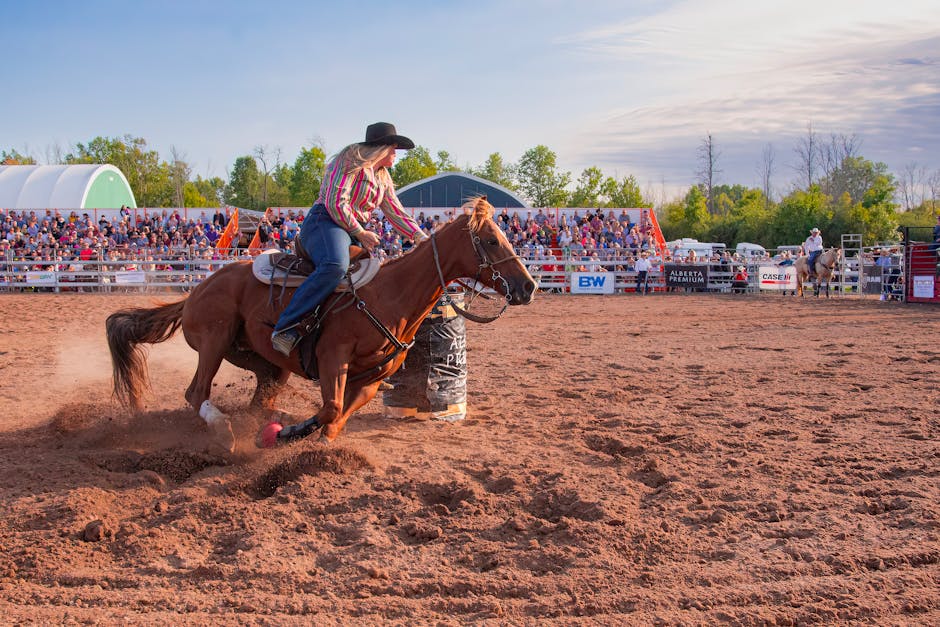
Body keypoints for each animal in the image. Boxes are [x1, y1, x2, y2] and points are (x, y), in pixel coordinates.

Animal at [105, 196, 532, 452]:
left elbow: (337, 419)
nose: (528, 286)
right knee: (196, 393)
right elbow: (330, 408)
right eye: (491, 241)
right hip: (213, 340)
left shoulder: (372, 380)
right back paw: (225, 431)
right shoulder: (332, 358)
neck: (389, 296)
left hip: (267, 365)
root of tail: (197, 290)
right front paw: (287, 434)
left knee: (258, 400)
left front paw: (312, 446)